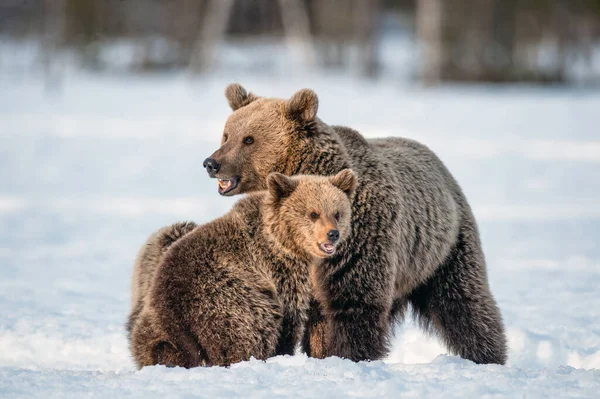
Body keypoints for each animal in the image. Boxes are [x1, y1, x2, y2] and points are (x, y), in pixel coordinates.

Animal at [202, 84, 506, 366]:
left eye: (249, 139)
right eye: (227, 134)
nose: (211, 163)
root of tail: (439, 163)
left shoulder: (359, 239)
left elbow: (353, 303)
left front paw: (351, 355)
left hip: (444, 248)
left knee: (463, 302)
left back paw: (488, 355)